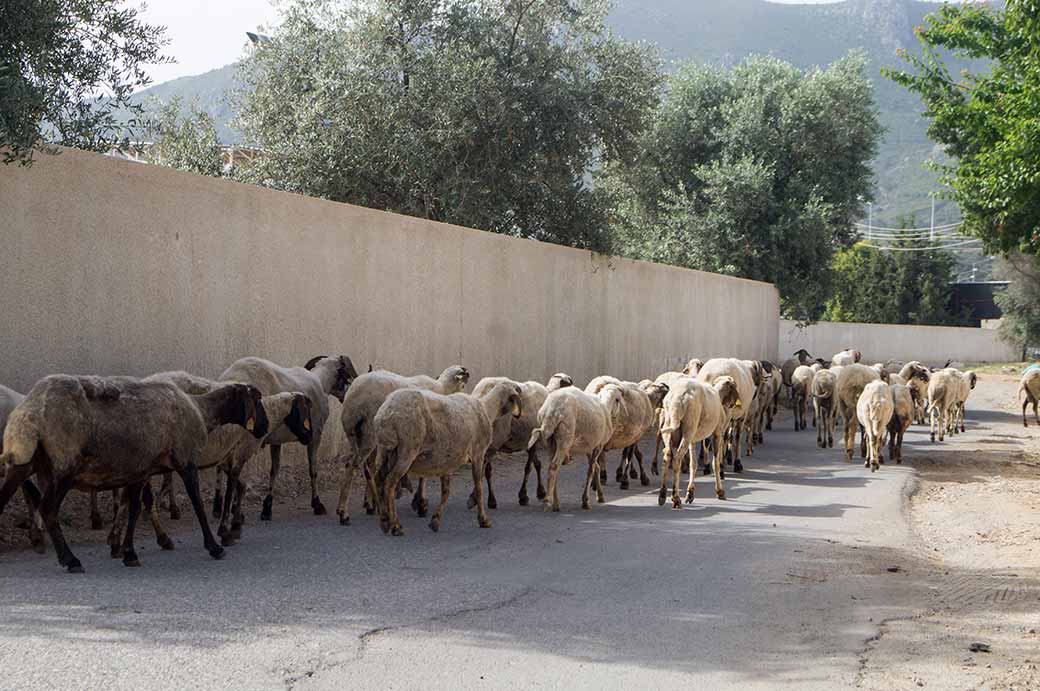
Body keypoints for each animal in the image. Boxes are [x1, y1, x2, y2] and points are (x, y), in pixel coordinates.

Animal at [2, 374, 268, 570]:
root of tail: (30, 411)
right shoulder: (186, 462)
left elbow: (134, 509)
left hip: (24, 462)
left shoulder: (140, 471)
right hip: (63, 467)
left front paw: (128, 553)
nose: (264, 429)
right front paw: (215, 547)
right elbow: (198, 505)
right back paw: (71, 560)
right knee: (48, 509)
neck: (201, 410)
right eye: (257, 399)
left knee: (4, 501)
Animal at [334, 366, 470, 524]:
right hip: (369, 433)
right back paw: (344, 513)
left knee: (362, 467)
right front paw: (421, 503)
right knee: (354, 466)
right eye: (463, 385)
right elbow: (423, 475)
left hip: (353, 434)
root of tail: (354, 397)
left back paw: (372, 505)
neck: (442, 388)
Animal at [524, 382, 619, 512]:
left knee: (552, 467)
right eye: (618, 400)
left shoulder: (589, 447)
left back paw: (556, 503)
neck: (606, 407)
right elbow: (591, 470)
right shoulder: (598, 446)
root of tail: (551, 411)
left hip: (551, 441)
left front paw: (600, 496)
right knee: (554, 466)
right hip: (565, 437)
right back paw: (548, 502)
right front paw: (585, 501)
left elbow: (596, 467)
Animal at [657, 372, 740, 507]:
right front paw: (720, 491)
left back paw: (662, 495)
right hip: (689, 427)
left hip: (670, 426)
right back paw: (676, 498)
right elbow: (716, 463)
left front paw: (690, 493)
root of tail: (677, 400)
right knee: (677, 459)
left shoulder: (693, 439)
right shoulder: (717, 433)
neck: (718, 394)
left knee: (667, 457)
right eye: (734, 386)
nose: (736, 401)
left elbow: (693, 464)